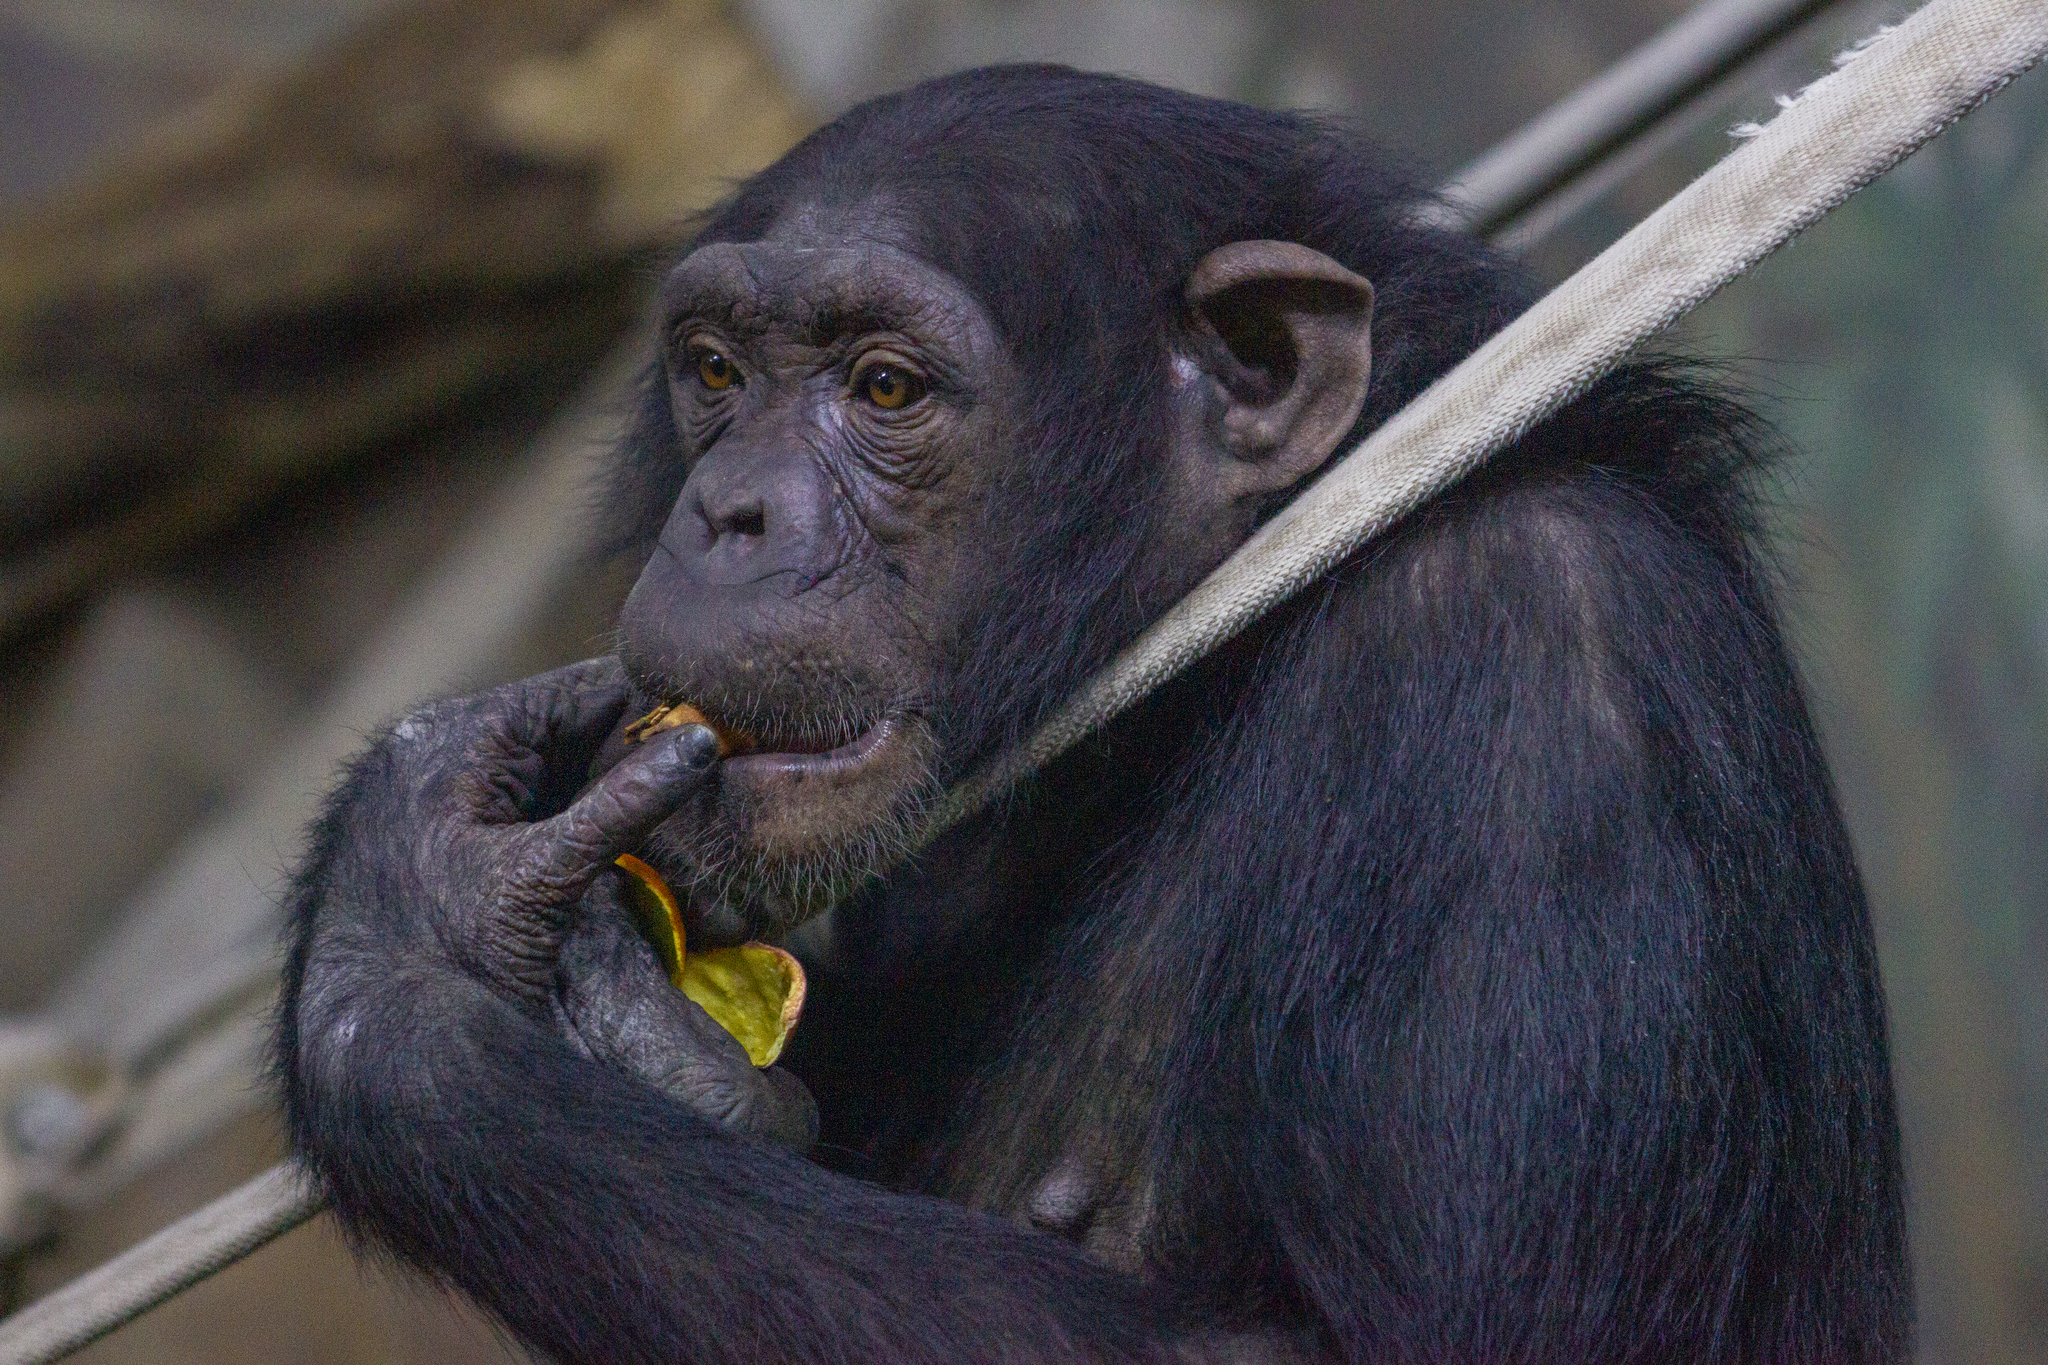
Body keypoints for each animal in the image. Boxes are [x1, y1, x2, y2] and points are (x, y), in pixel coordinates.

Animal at [280, 63, 1908, 1365]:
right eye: (718, 371)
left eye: (885, 386)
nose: (727, 515)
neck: (1194, 699)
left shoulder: (1542, 677)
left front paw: (403, 933)